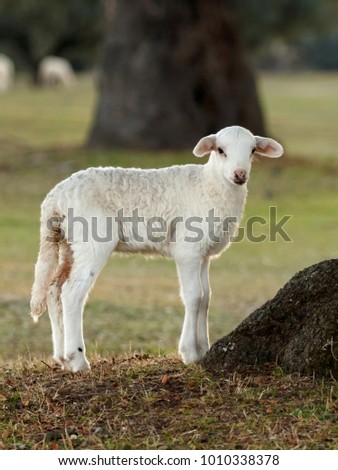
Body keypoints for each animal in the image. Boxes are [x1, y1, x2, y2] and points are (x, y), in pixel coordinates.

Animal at [29, 125, 282, 370]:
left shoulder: (203, 254)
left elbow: (206, 297)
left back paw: (62, 358)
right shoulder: (188, 249)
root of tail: (54, 199)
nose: (240, 175)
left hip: (68, 243)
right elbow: (194, 296)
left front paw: (203, 349)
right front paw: (190, 353)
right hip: (92, 239)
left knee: (54, 289)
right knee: (72, 292)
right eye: (220, 150)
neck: (209, 185)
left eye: (252, 150)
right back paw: (78, 360)